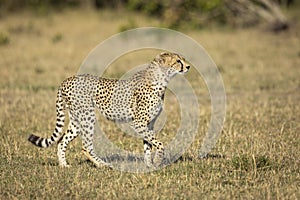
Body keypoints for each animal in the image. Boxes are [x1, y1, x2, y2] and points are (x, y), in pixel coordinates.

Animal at [29, 52, 191, 167]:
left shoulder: (148, 124)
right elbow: (159, 143)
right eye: (178, 61)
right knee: (85, 146)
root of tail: (67, 79)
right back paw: (103, 165)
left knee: (62, 141)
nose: (188, 66)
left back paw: (64, 165)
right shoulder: (138, 123)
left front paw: (149, 165)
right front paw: (157, 160)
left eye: (182, 59)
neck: (161, 81)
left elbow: (148, 144)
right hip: (87, 116)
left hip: (76, 119)